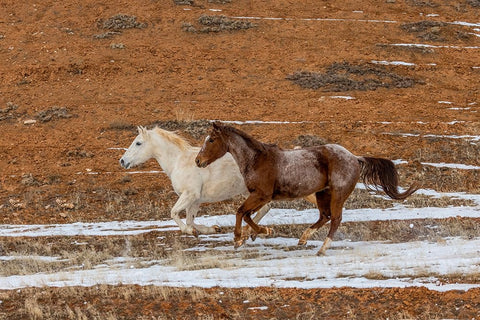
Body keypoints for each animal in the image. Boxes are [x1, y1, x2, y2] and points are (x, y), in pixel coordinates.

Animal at [118, 126, 272, 236]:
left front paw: (189, 231)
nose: (122, 161)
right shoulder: (195, 200)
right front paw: (212, 229)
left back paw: (249, 232)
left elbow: (174, 213)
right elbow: (190, 219)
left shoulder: (190, 195)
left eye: (138, 143)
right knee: (265, 208)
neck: (178, 162)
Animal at [195, 122, 416, 255]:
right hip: (322, 194)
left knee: (335, 219)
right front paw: (255, 234)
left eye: (211, 140)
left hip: (337, 194)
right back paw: (303, 239)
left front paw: (240, 238)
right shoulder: (260, 197)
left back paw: (322, 248)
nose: (198, 161)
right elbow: (247, 214)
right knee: (325, 216)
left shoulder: (261, 195)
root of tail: (354, 157)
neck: (256, 160)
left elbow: (241, 211)